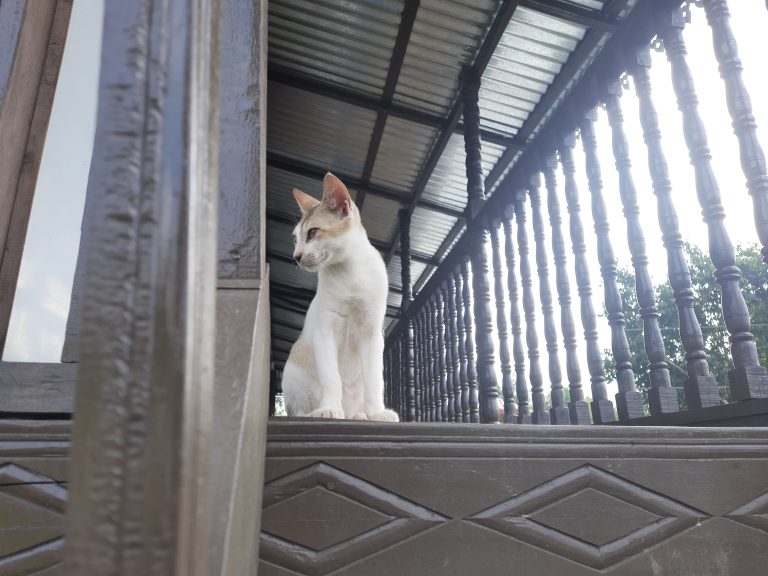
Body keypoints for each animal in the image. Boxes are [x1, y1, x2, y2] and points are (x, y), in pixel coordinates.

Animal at [282, 173, 402, 420]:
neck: (349, 272)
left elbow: (375, 381)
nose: (296, 256)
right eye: (295, 239)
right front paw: (329, 408)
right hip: (292, 373)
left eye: (312, 232)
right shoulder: (325, 330)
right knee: (299, 410)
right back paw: (318, 413)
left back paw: (360, 415)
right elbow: (331, 378)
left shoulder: (372, 332)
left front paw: (377, 413)